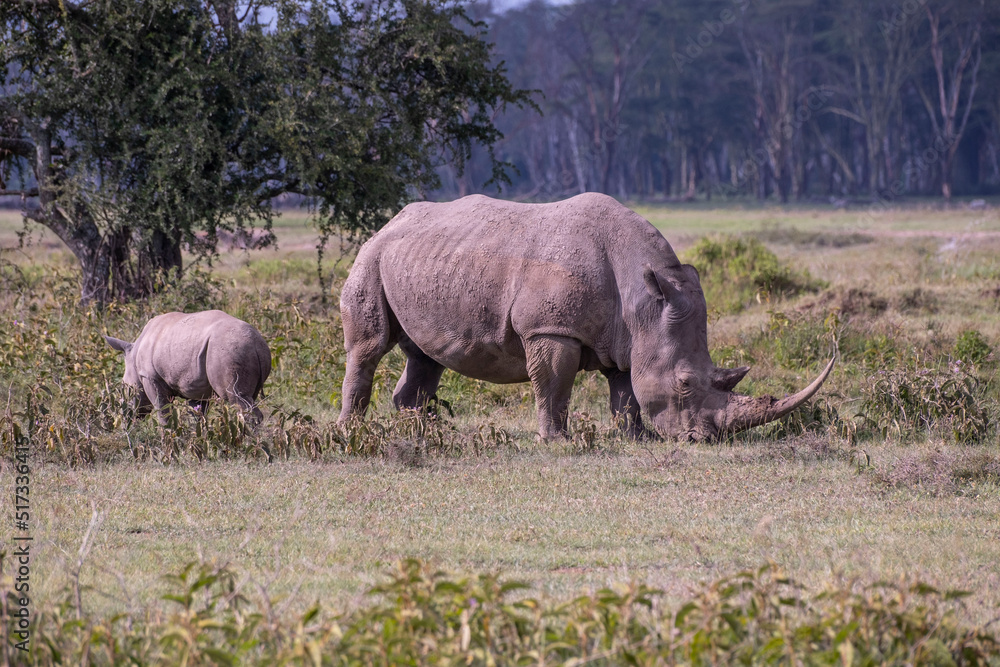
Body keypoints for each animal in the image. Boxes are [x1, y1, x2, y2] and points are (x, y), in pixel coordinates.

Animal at [105, 310, 271, 426]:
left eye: (124, 390)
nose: (124, 420)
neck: (133, 359)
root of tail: (257, 343)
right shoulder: (195, 387)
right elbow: (197, 416)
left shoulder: (150, 377)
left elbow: (162, 411)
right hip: (240, 349)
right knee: (248, 397)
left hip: (229, 351)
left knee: (236, 398)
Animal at [338, 193, 834, 442]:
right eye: (685, 384)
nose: (703, 440)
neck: (642, 299)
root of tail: (390, 223)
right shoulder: (551, 329)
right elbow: (553, 386)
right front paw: (556, 442)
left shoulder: (629, 339)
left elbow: (626, 393)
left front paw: (634, 438)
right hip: (371, 256)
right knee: (368, 347)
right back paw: (351, 433)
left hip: (424, 261)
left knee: (425, 357)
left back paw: (420, 433)